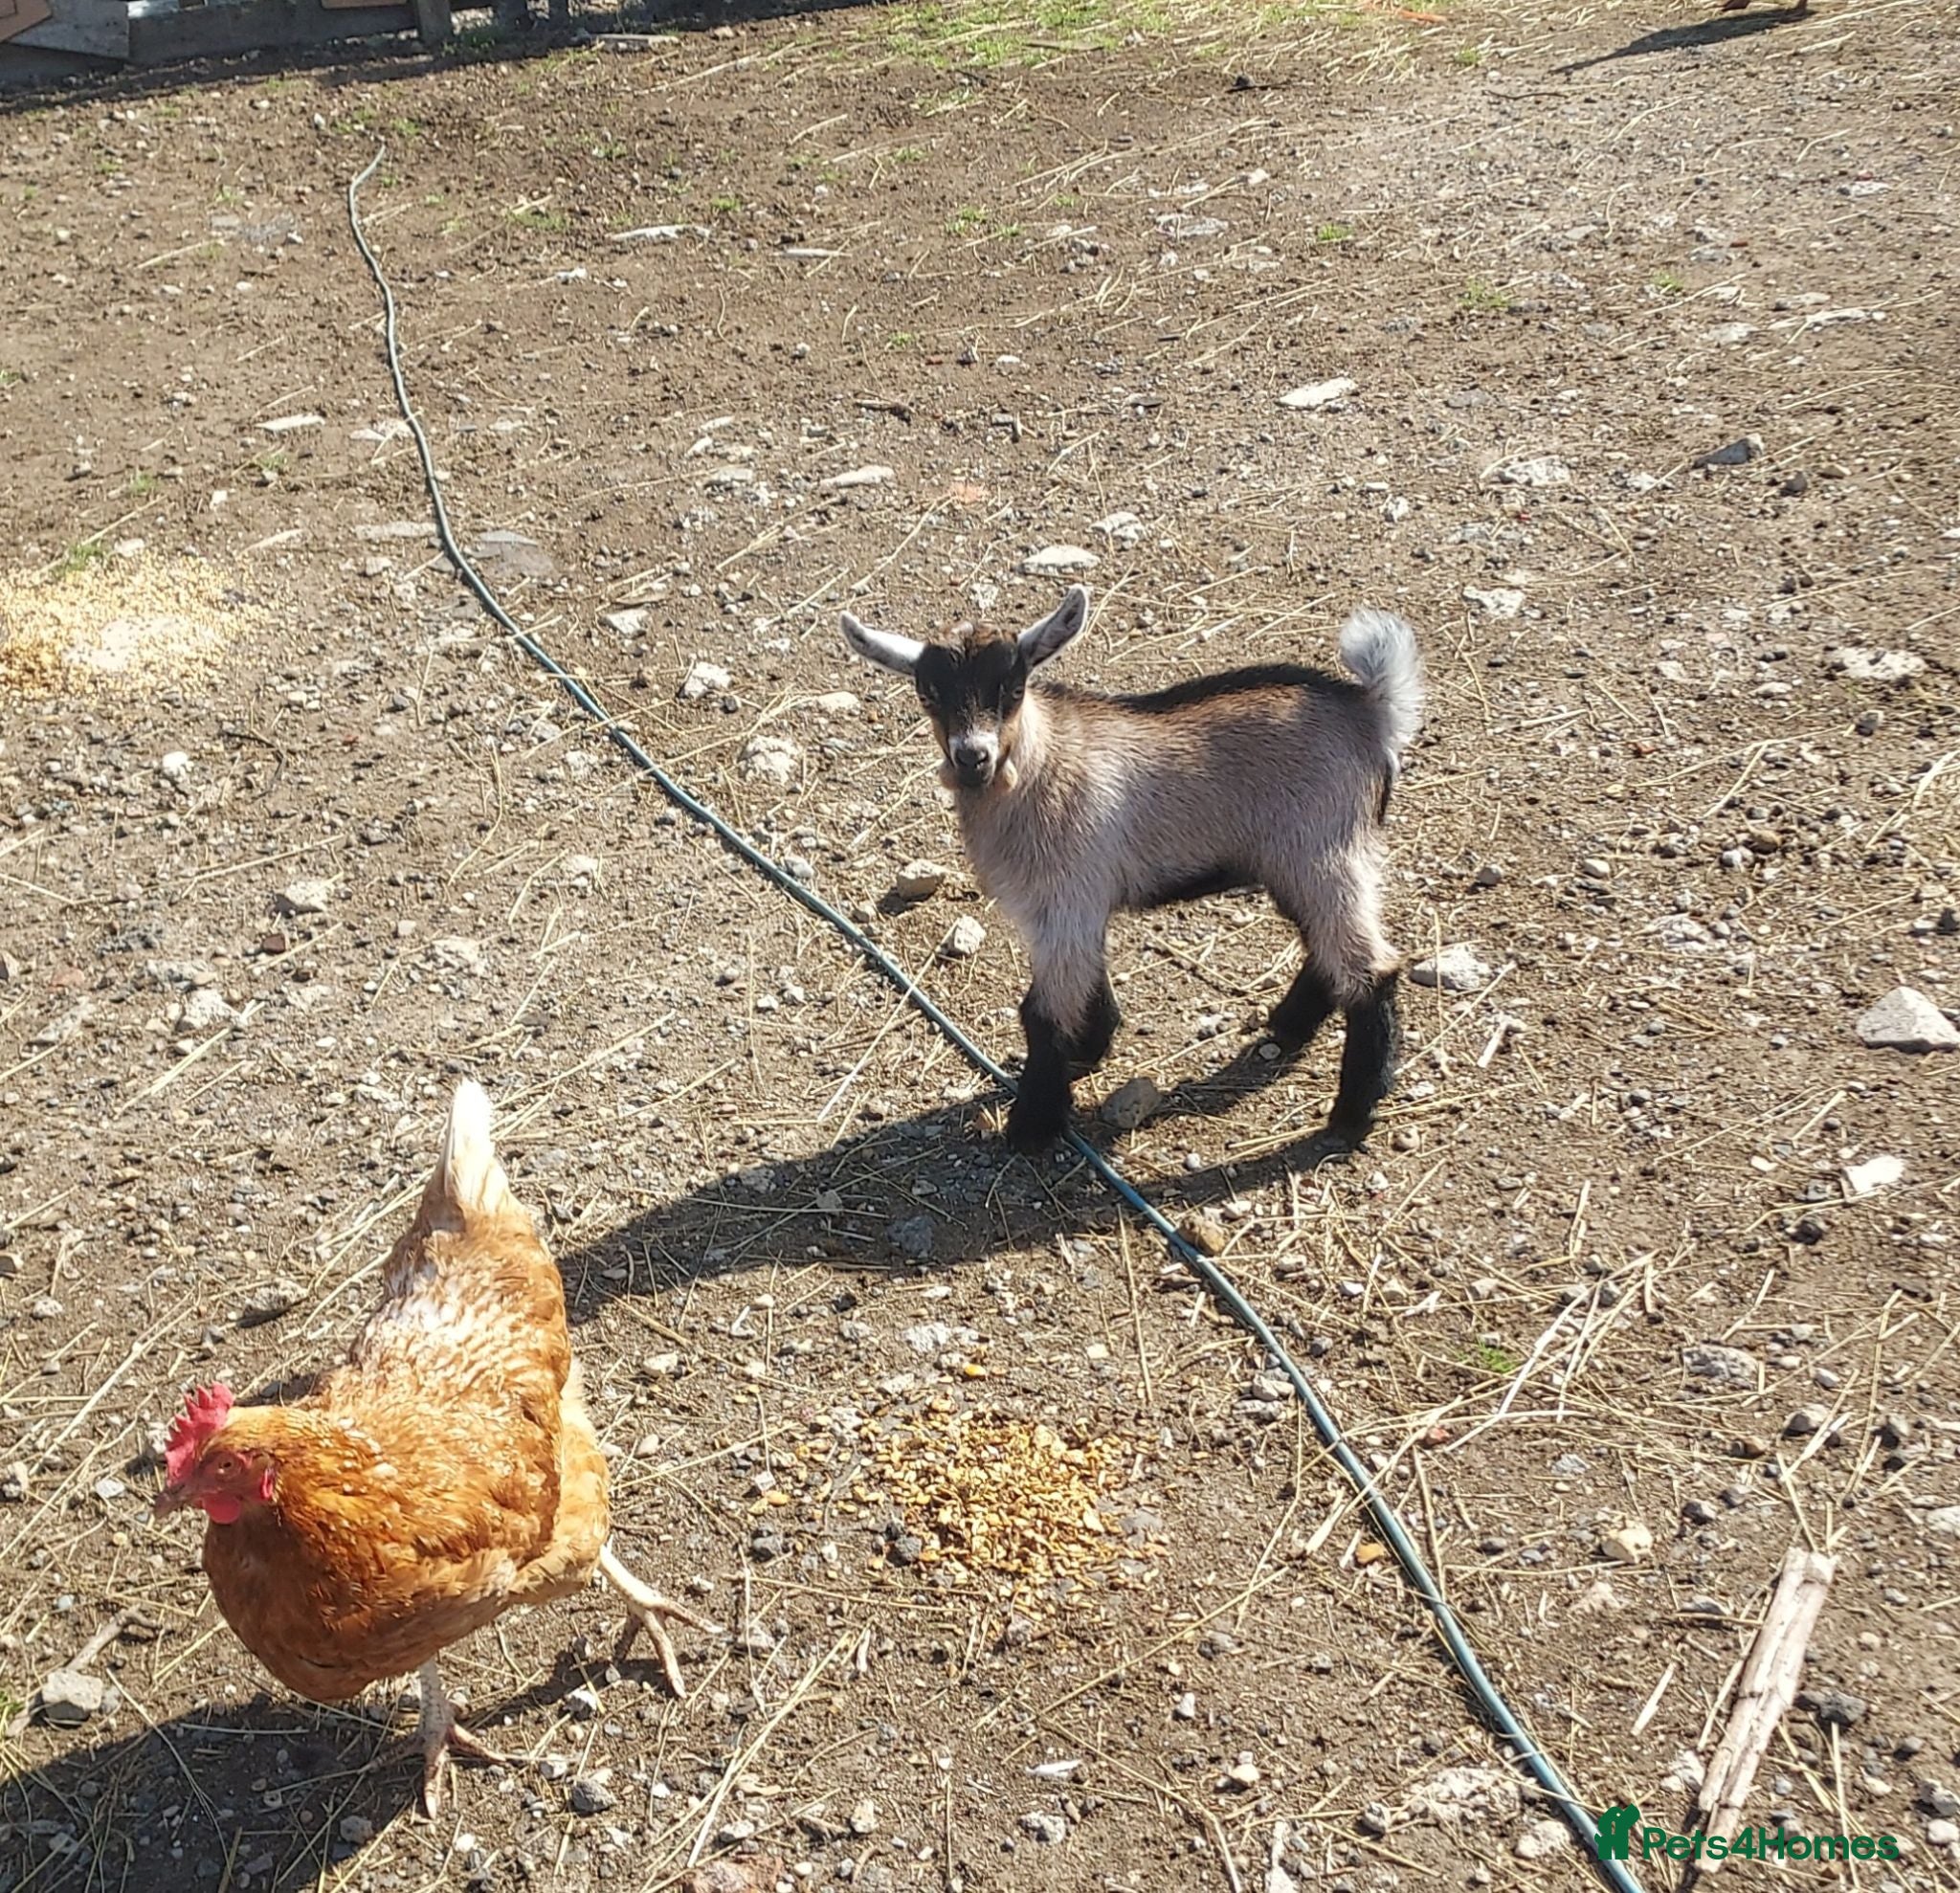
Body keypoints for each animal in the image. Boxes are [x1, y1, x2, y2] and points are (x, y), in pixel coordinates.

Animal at [840, 585, 1424, 1156]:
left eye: (1014, 688)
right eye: (928, 692)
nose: (972, 757)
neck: (1041, 764)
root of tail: (1371, 710)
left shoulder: (1066, 898)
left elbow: (1042, 1012)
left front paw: (1033, 1125)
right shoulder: (1070, 906)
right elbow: (1087, 981)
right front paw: (1090, 1048)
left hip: (1325, 851)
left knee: (1371, 970)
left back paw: (1351, 1115)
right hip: (1300, 863)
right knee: (1326, 947)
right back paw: (1291, 1025)